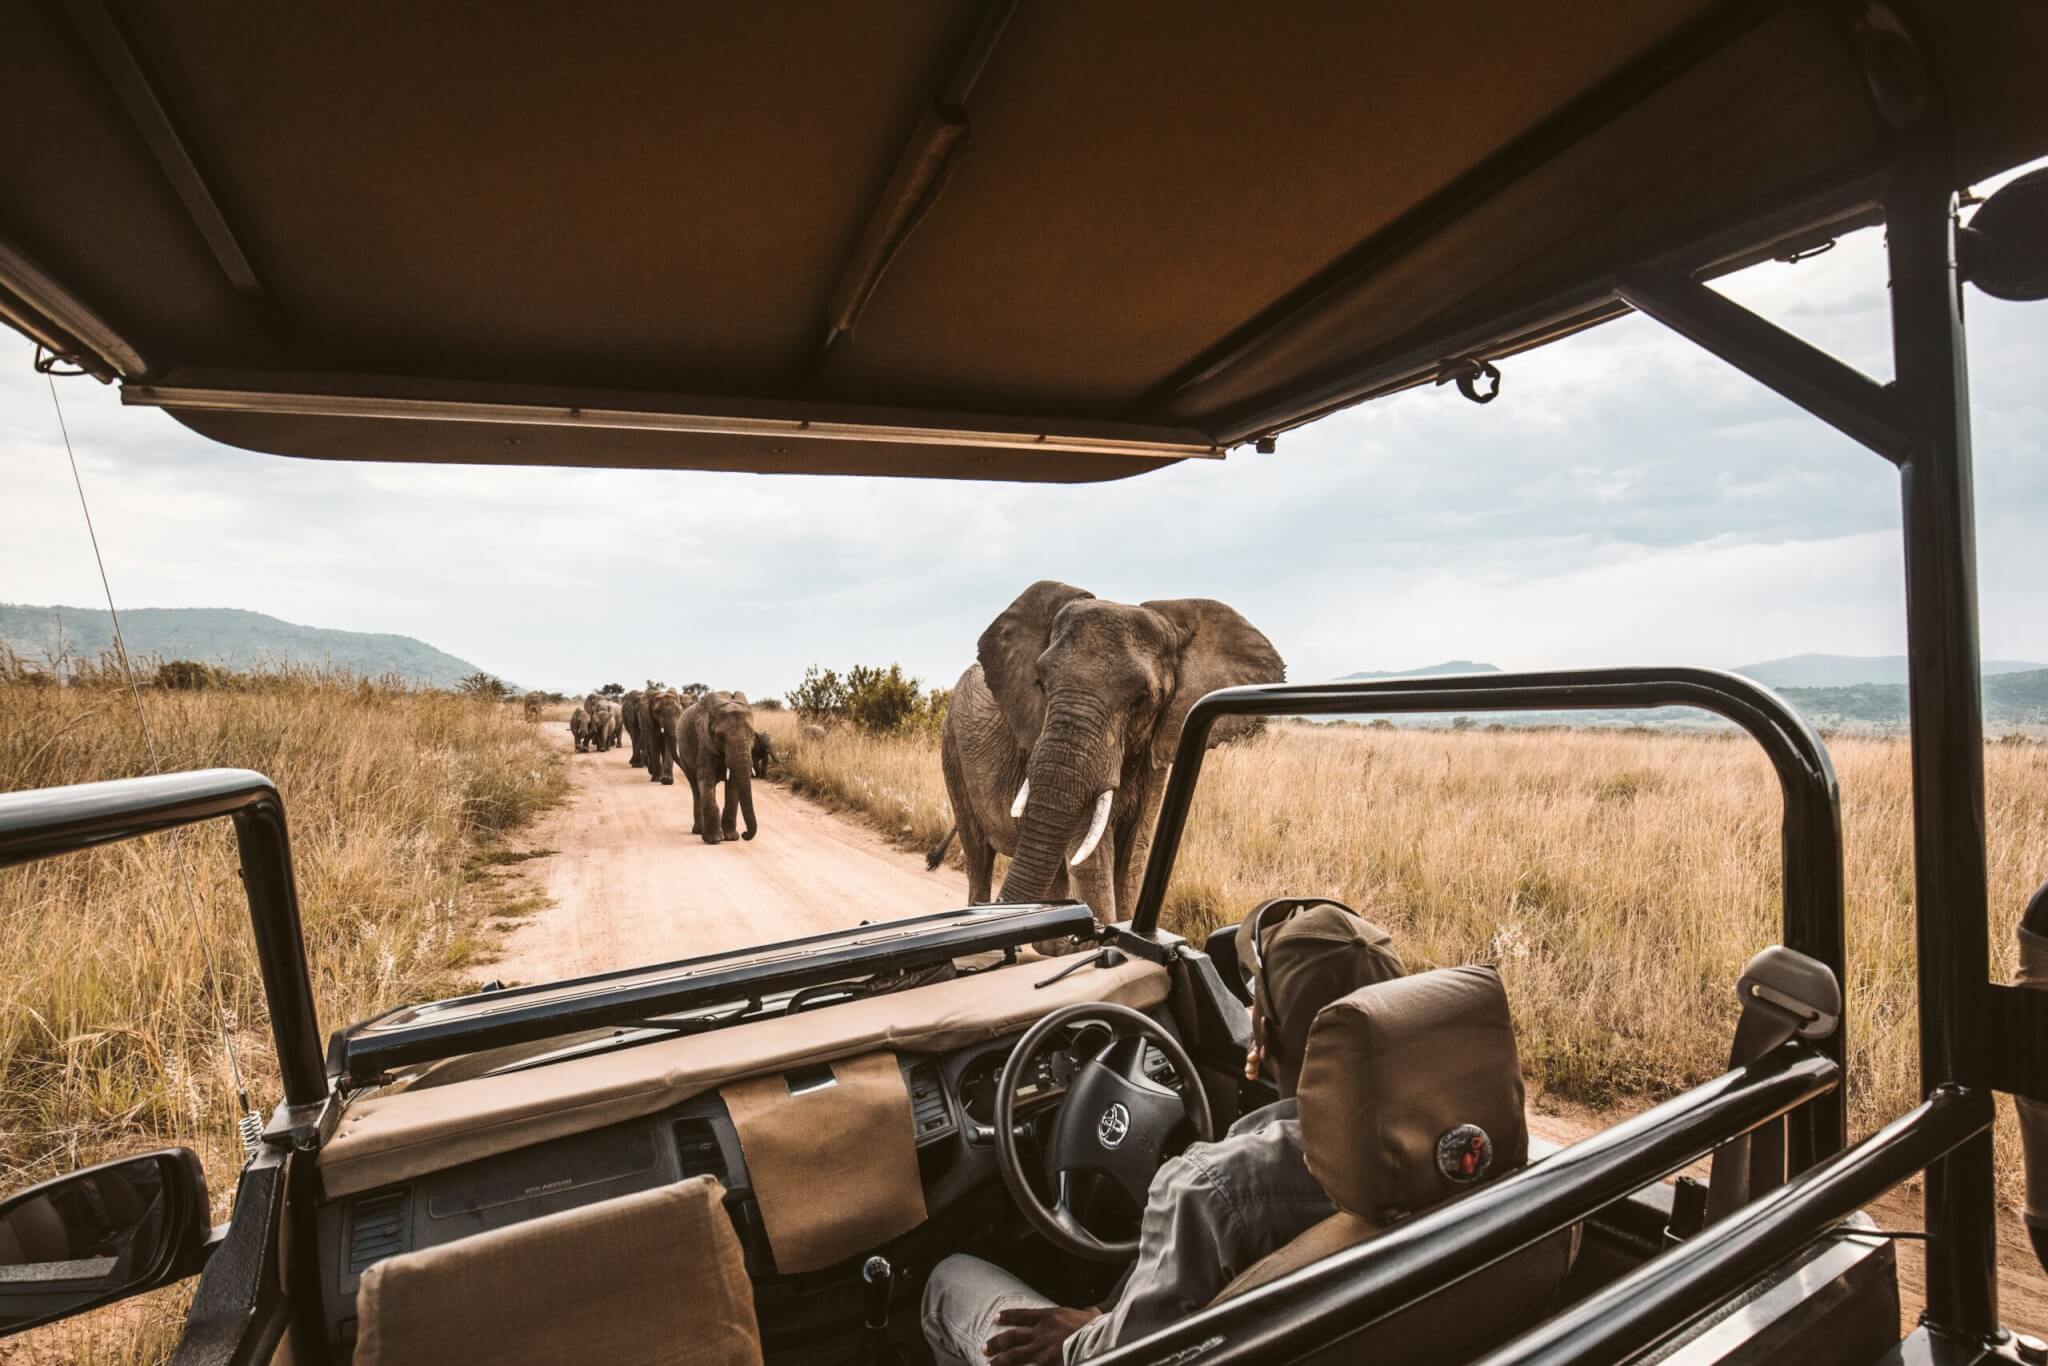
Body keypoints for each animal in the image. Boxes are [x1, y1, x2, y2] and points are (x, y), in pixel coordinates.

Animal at [937, 581, 1286, 925]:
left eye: (1143, 698)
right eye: (1041, 683)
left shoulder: (1157, 750)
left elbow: (1133, 858)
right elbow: (1092, 862)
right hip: (952, 749)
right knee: (979, 855)